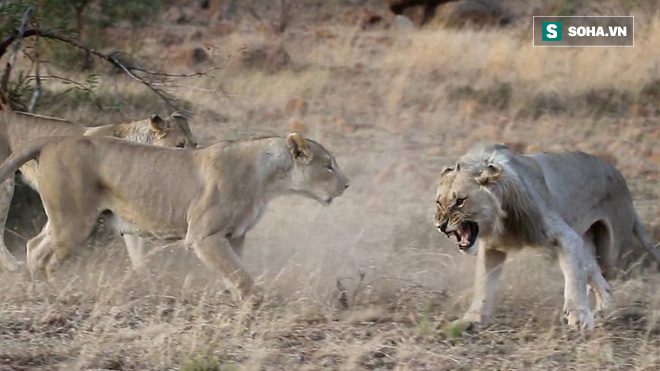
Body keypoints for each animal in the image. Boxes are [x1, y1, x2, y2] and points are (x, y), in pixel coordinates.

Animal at [0, 132, 350, 300]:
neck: (268, 180)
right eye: (329, 165)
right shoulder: (203, 236)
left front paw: (231, 296)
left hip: (62, 220)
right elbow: (240, 274)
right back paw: (56, 292)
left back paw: (39, 290)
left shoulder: (235, 235)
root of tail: (54, 138)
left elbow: (234, 269)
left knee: (33, 246)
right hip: (73, 223)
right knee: (45, 256)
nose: (347, 184)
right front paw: (254, 301)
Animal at [434, 144, 660, 330]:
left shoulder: (566, 236)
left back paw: (599, 312)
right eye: (438, 202)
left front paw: (578, 315)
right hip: (587, 244)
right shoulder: (493, 247)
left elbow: (573, 277)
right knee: (598, 278)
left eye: (460, 201)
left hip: (609, 254)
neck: (500, 218)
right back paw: (601, 312)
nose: (441, 226)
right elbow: (483, 284)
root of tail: (622, 179)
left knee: (603, 278)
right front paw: (472, 320)